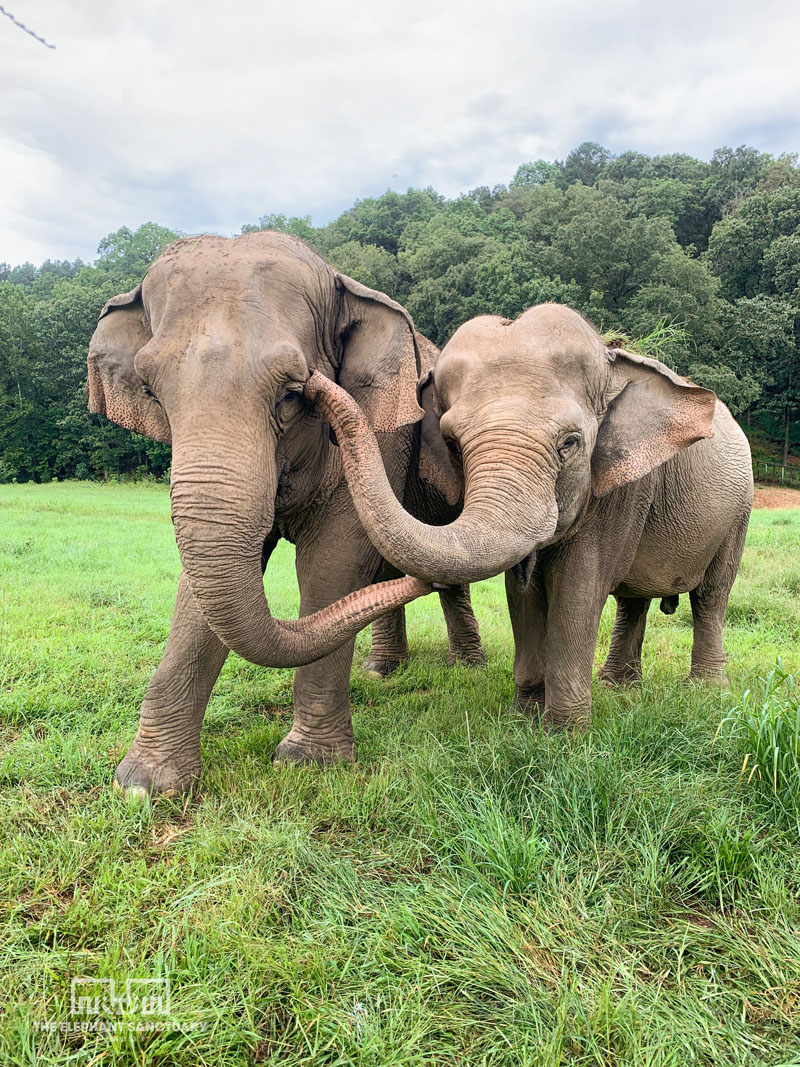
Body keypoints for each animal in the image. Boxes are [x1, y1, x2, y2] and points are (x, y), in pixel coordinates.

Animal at [85, 235, 486, 802]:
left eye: (292, 393)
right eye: (150, 391)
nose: (316, 383)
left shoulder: (382, 435)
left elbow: (334, 563)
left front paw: (307, 764)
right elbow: (202, 589)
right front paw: (144, 785)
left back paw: (466, 667)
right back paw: (382, 672)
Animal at [302, 305, 755, 729]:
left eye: (570, 443)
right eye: (451, 443)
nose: (308, 379)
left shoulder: (623, 489)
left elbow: (578, 588)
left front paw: (565, 734)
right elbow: (523, 595)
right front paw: (524, 717)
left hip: (739, 510)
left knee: (711, 594)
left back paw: (706, 689)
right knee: (634, 599)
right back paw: (619, 687)